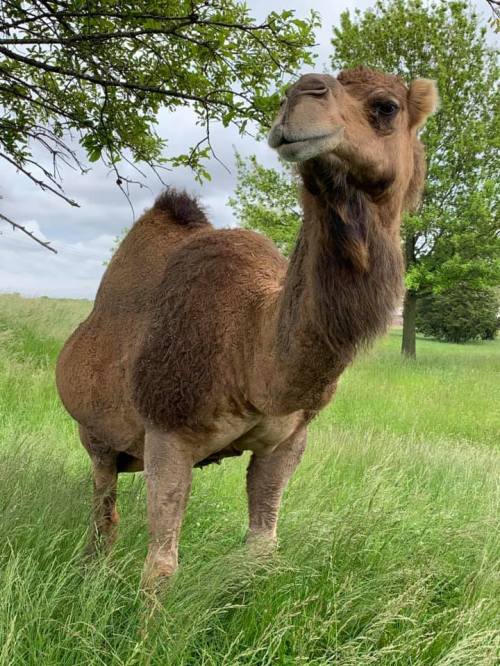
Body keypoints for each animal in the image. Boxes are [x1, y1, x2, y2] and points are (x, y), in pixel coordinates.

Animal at [56, 67, 438, 582]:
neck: (249, 354)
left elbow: (262, 545)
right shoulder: (165, 432)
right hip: (94, 435)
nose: (300, 96)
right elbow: (161, 565)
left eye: (386, 106)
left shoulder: (288, 441)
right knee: (104, 510)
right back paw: (92, 569)